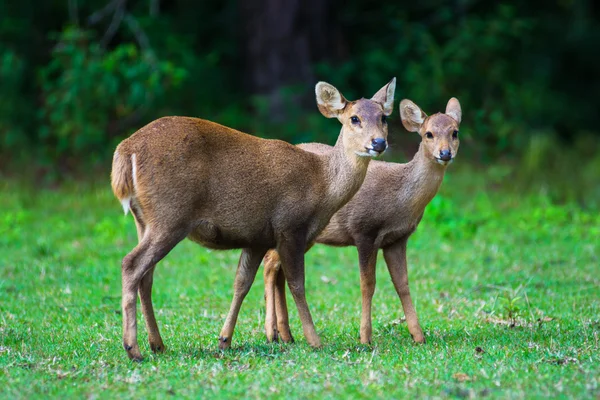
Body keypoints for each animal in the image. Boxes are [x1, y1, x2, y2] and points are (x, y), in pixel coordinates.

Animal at [110, 78, 396, 360]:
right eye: (354, 118)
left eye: (384, 117)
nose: (378, 143)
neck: (322, 185)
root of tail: (125, 152)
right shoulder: (290, 226)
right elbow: (297, 284)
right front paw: (314, 341)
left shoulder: (257, 237)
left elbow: (242, 283)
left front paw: (224, 340)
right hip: (170, 215)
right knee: (131, 264)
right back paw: (133, 348)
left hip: (144, 219)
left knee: (146, 275)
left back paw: (157, 344)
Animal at [260, 97, 462, 344]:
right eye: (428, 134)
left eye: (454, 132)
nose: (445, 153)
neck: (400, 201)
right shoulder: (364, 230)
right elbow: (368, 284)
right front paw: (365, 337)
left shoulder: (397, 239)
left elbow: (402, 284)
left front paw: (418, 336)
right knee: (270, 263)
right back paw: (272, 332)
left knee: (278, 268)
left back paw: (286, 334)